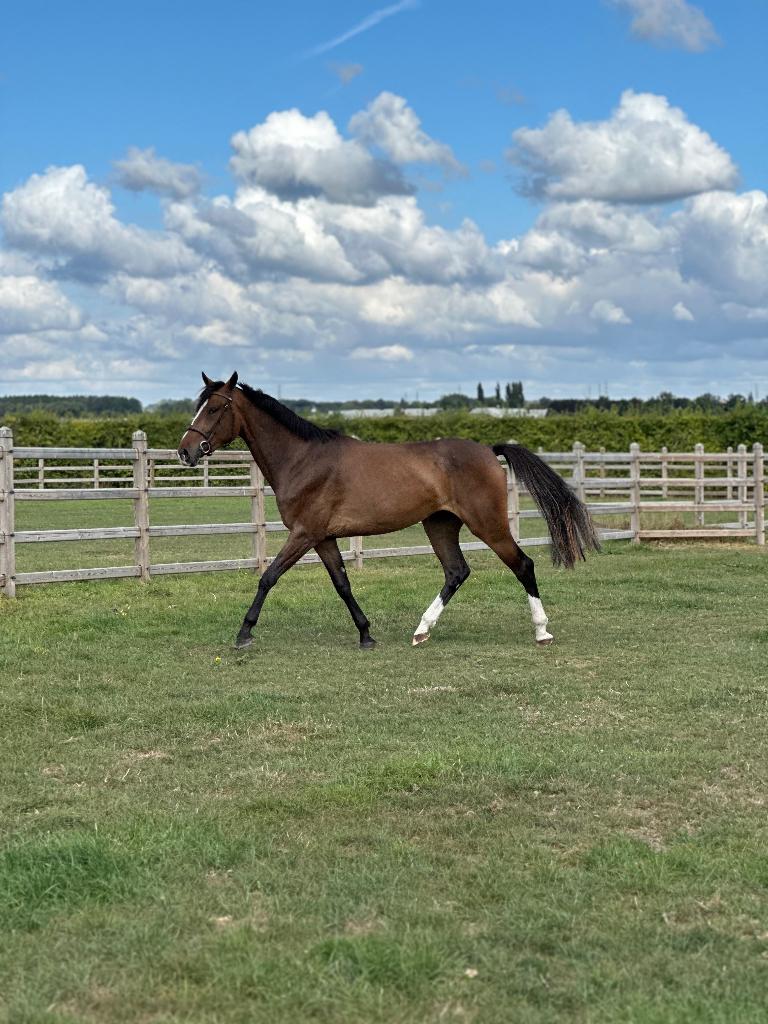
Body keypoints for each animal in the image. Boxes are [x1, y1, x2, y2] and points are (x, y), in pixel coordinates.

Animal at [177, 372, 599, 650]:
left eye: (215, 408)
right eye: (198, 406)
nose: (185, 451)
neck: (303, 459)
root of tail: (487, 450)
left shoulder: (304, 533)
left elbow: (268, 577)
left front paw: (244, 634)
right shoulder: (323, 537)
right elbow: (342, 584)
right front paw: (366, 634)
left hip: (488, 523)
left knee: (522, 565)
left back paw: (542, 631)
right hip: (440, 524)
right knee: (456, 571)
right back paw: (421, 630)